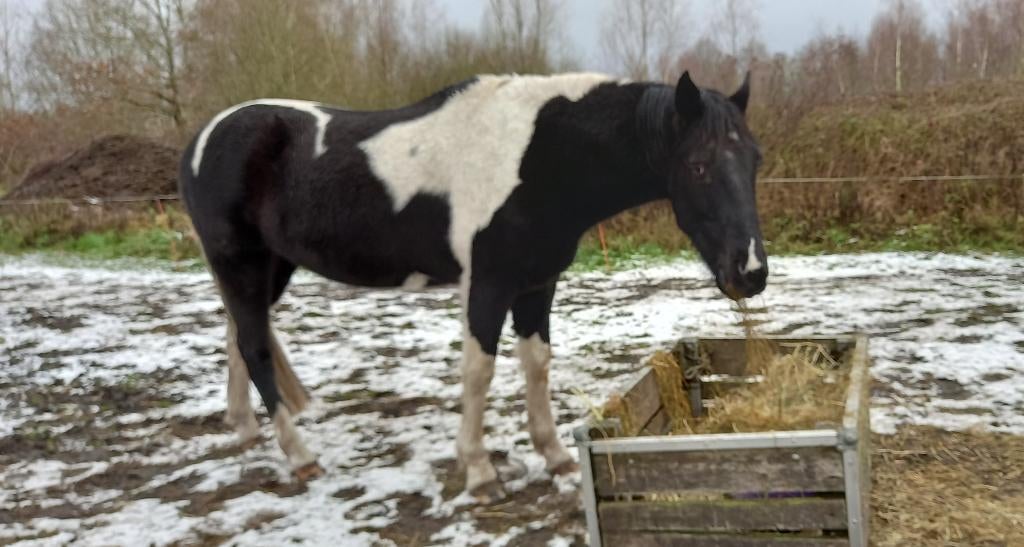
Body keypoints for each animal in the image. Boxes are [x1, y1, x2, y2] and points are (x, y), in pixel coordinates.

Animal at [178, 71, 767, 502]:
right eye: (698, 165)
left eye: (755, 160)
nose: (751, 272)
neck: (541, 157)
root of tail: (201, 141)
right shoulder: (487, 286)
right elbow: (479, 371)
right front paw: (481, 473)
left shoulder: (536, 285)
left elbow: (536, 363)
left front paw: (556, 458)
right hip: (242, 263)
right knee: (255, 347)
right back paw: (300, 457)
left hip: (268, 269)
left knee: (239, 336)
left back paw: (247, 431)